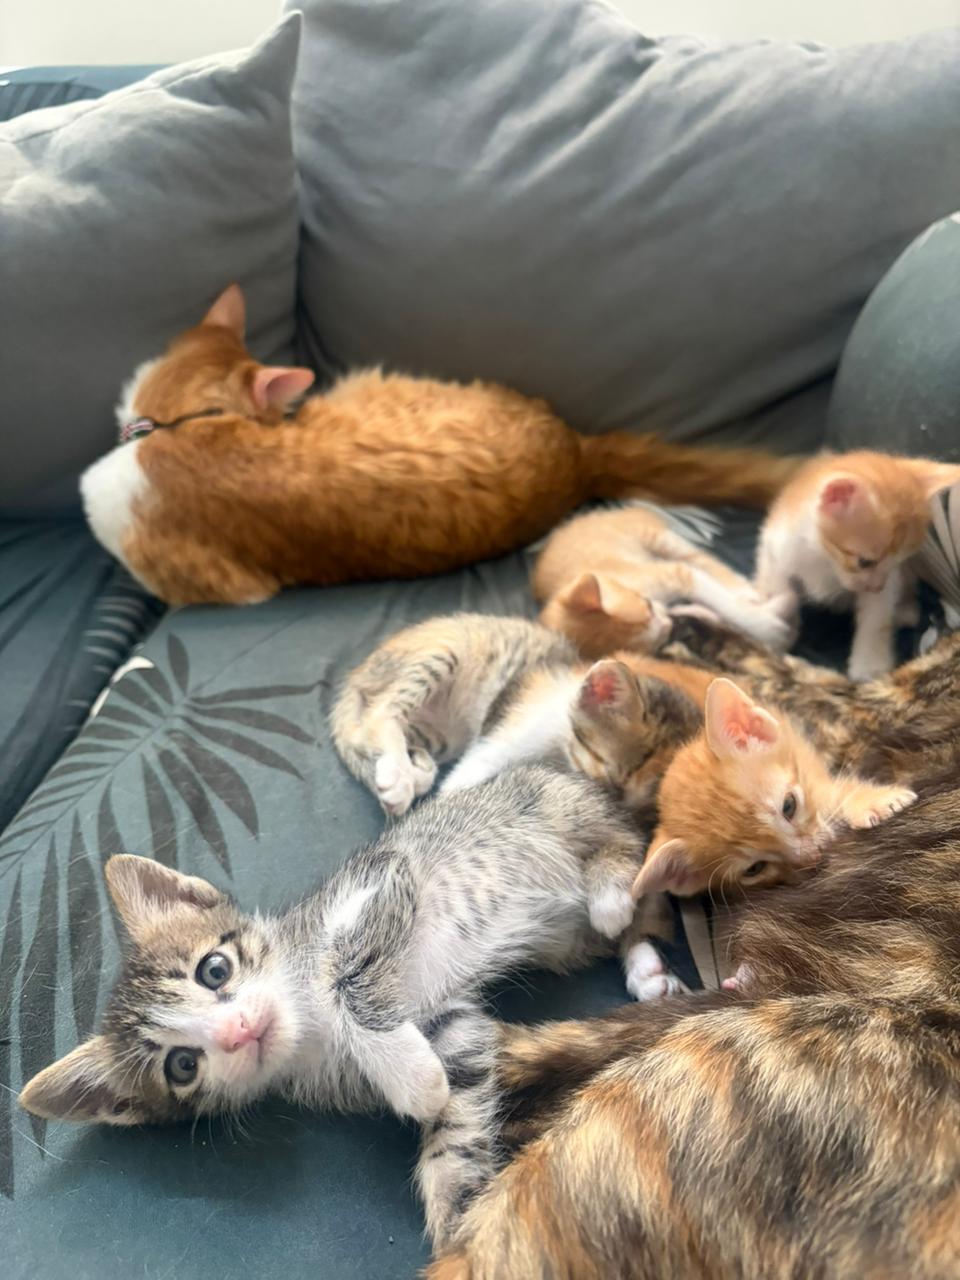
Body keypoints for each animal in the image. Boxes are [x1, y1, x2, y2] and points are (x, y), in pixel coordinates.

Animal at [18, 765, 677, 1250]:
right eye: (182, 1065)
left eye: (215, 970)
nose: (238, 1029)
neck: (308, 1022)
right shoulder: (449, 1025)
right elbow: (456, 1106)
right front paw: (456, 1213)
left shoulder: (381, 880)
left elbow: (347, 976)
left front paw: (411, 1079)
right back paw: (644, 967)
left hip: (555, 806)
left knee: (624, 848)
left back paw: (611, 893)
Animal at [331, 613, 707, 817]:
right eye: (606, 768)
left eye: (639, 799)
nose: (609, 801)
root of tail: (359, 673)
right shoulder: (513, 725)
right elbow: (466, 777)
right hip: (441, 653)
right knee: (377, 717)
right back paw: (397, 775)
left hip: (439, 735)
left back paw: (411, 773)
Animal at [534, 505, 792, 656]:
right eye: (658, 642)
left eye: (647, 604)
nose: (668, 621)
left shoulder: (676, 573)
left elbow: (724, 603)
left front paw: (771, 630)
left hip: (657, 537)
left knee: (696, 556)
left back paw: (742, 588)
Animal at [755, 448, 960, 679]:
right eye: (864, 562)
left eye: (898, 561)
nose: (876, 586)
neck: (824, 557)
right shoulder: (776, 548)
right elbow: (777, 587)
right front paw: (778, 630)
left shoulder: (889, 584)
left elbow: (876, 620)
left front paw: (869, 666)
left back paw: (905, 610)